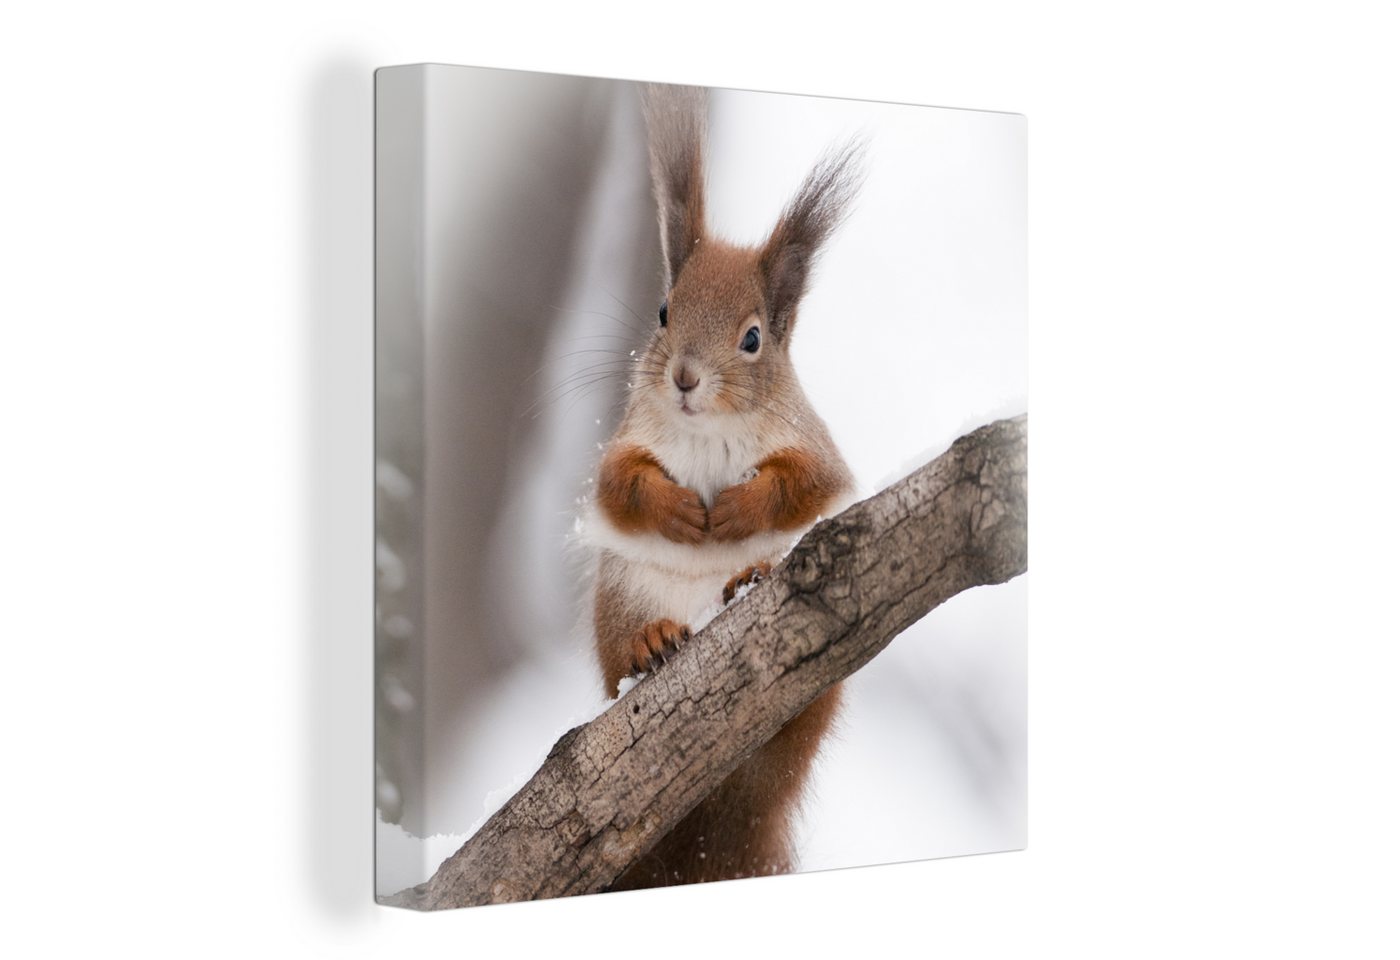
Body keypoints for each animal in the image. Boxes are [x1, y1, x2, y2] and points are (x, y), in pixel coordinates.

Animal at [582, 84, 863, 889]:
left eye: (753, 338)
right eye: (664, 311)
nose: (683, 378)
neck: (706, 430)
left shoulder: (816, 452)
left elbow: (805, 486)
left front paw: (738, 510)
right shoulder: (628, 439)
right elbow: (621, 485)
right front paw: (678, 509)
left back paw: (748, 580)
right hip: (622, 594)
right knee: (619, 660)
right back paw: (651, 643)